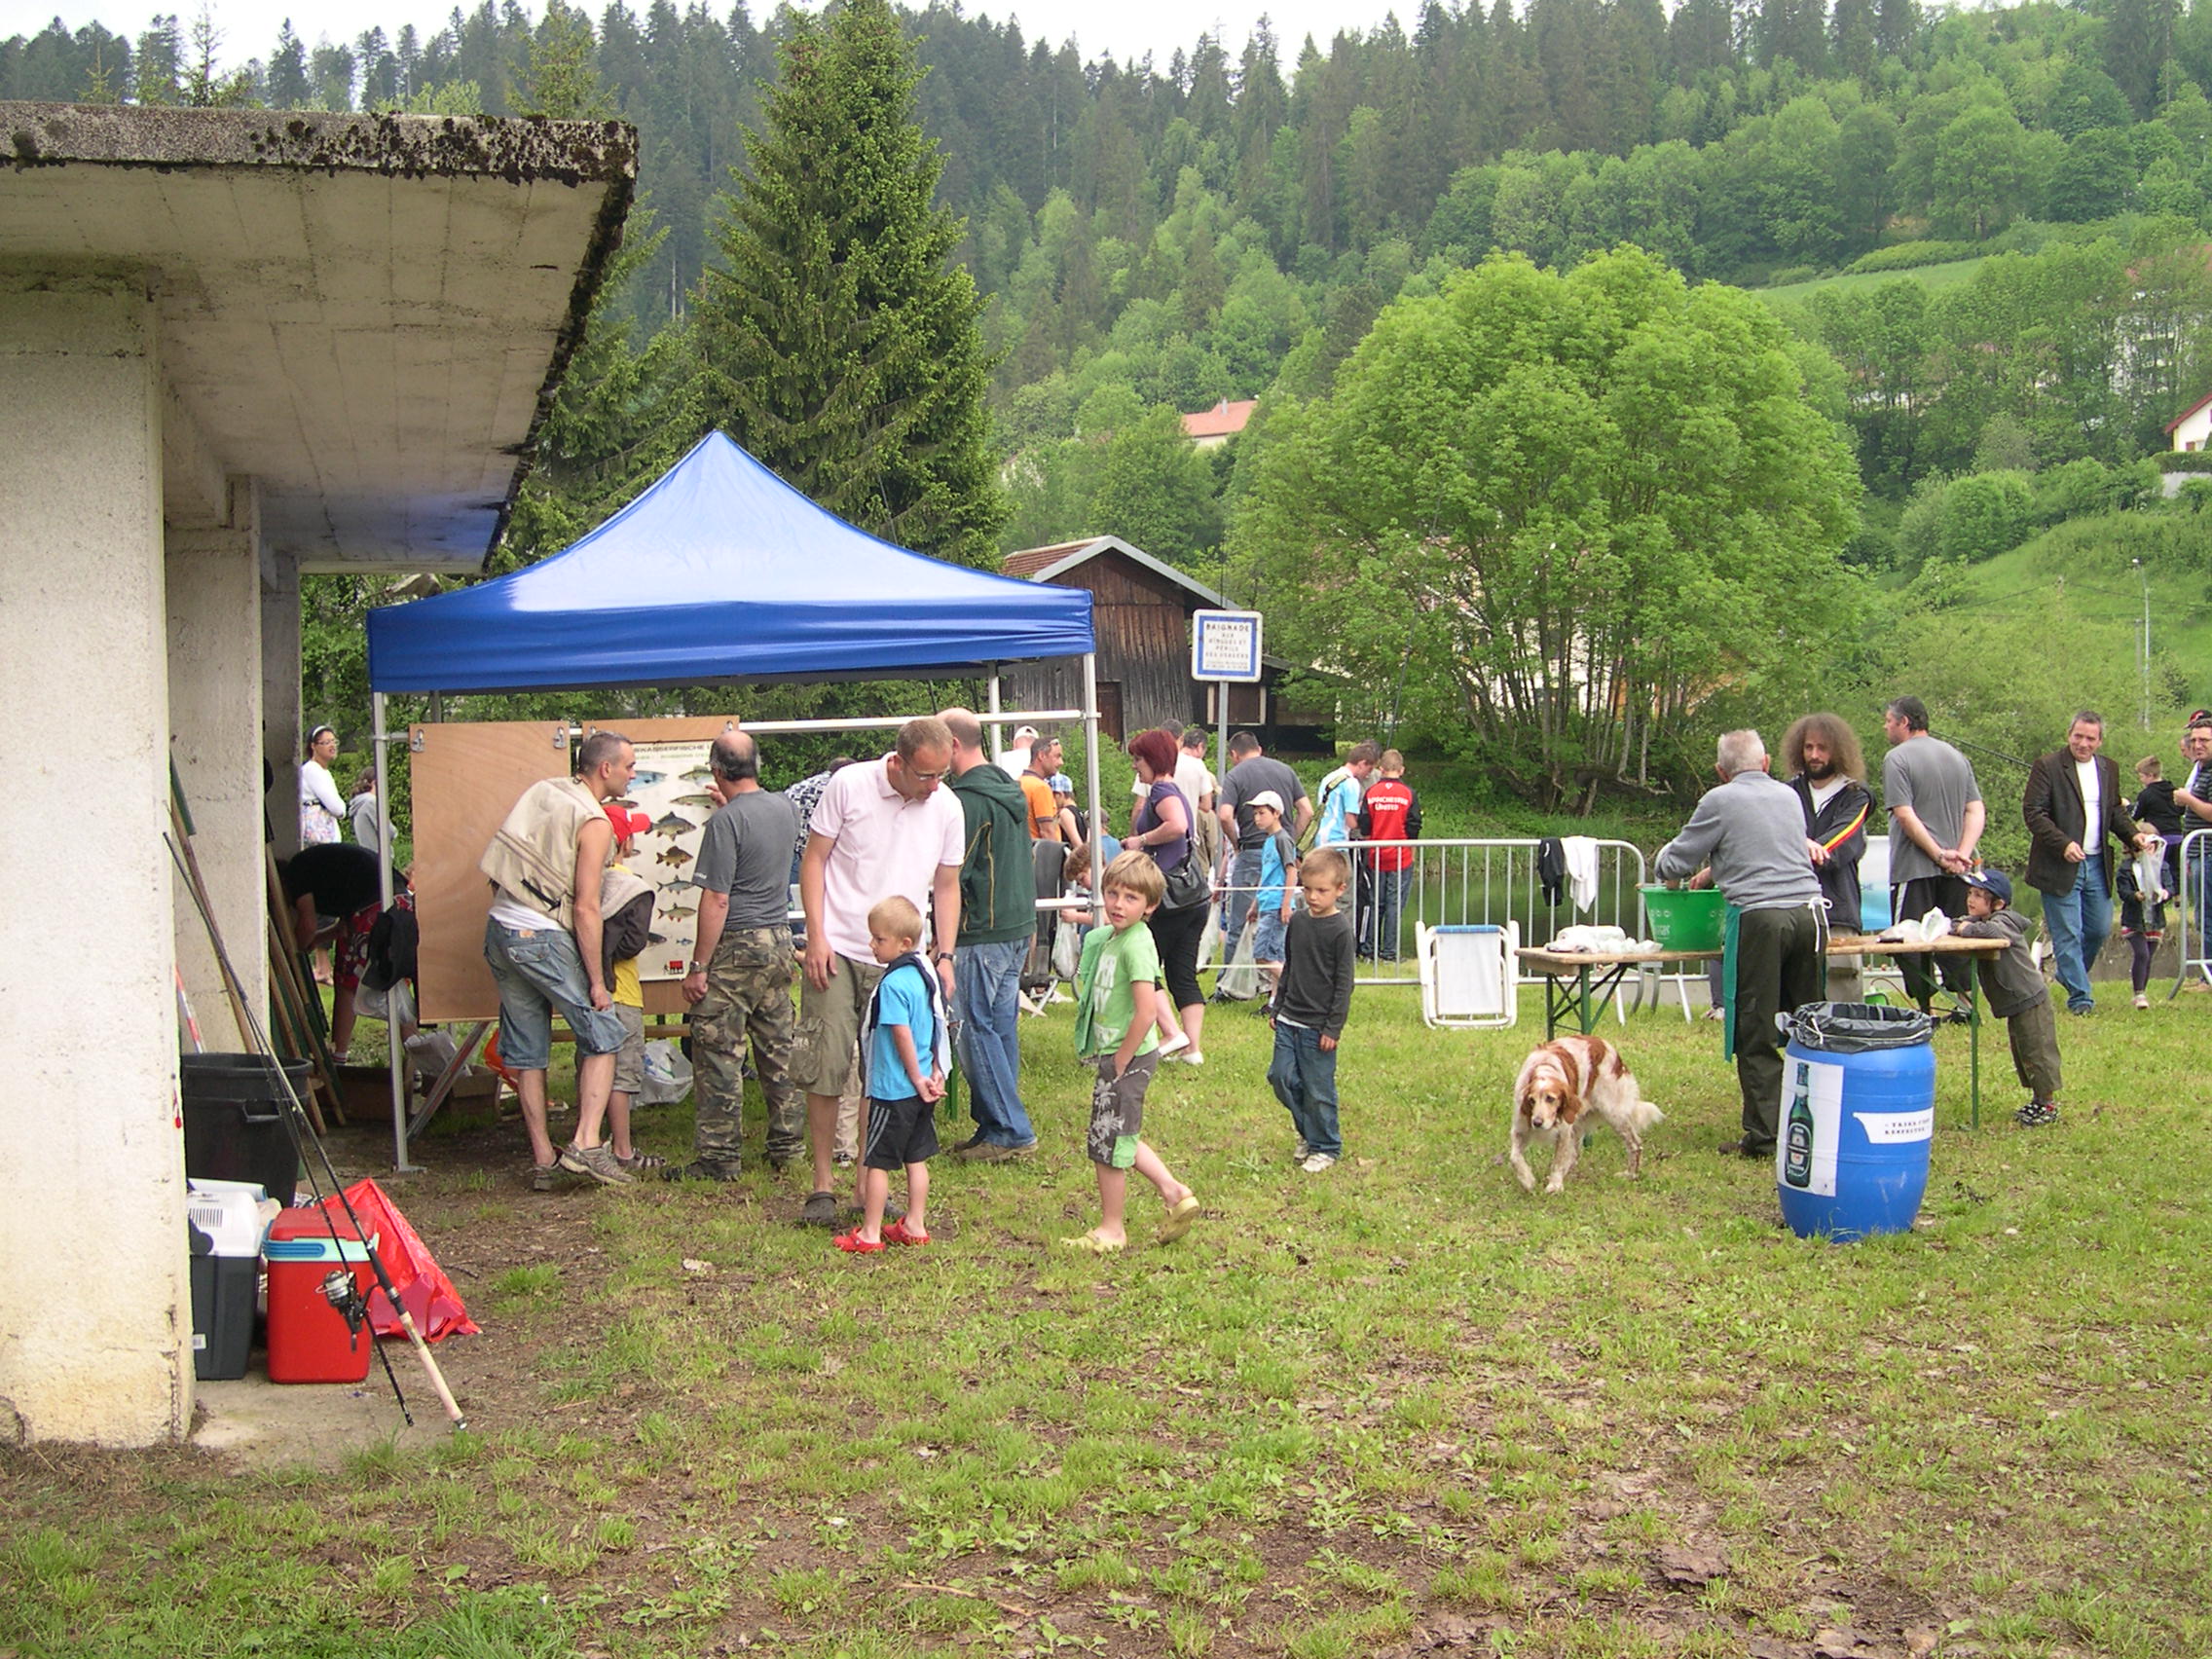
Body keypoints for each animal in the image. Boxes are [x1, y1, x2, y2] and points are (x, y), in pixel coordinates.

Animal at [1510, 1035, 1664, 1194]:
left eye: (1550, 1098)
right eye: (1531, 1100)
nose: (1537, 1123)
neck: (1544, 1066)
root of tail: (1602, 1042)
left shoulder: (1563, 1132)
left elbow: (1558, 1162)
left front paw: (1555, 1185)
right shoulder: (1519, 1129)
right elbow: (1514, 1157)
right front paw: (1527, 1179)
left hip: (1614, 1115)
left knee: (1635, 1144)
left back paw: (1630, 1175)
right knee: (1574, 1154)